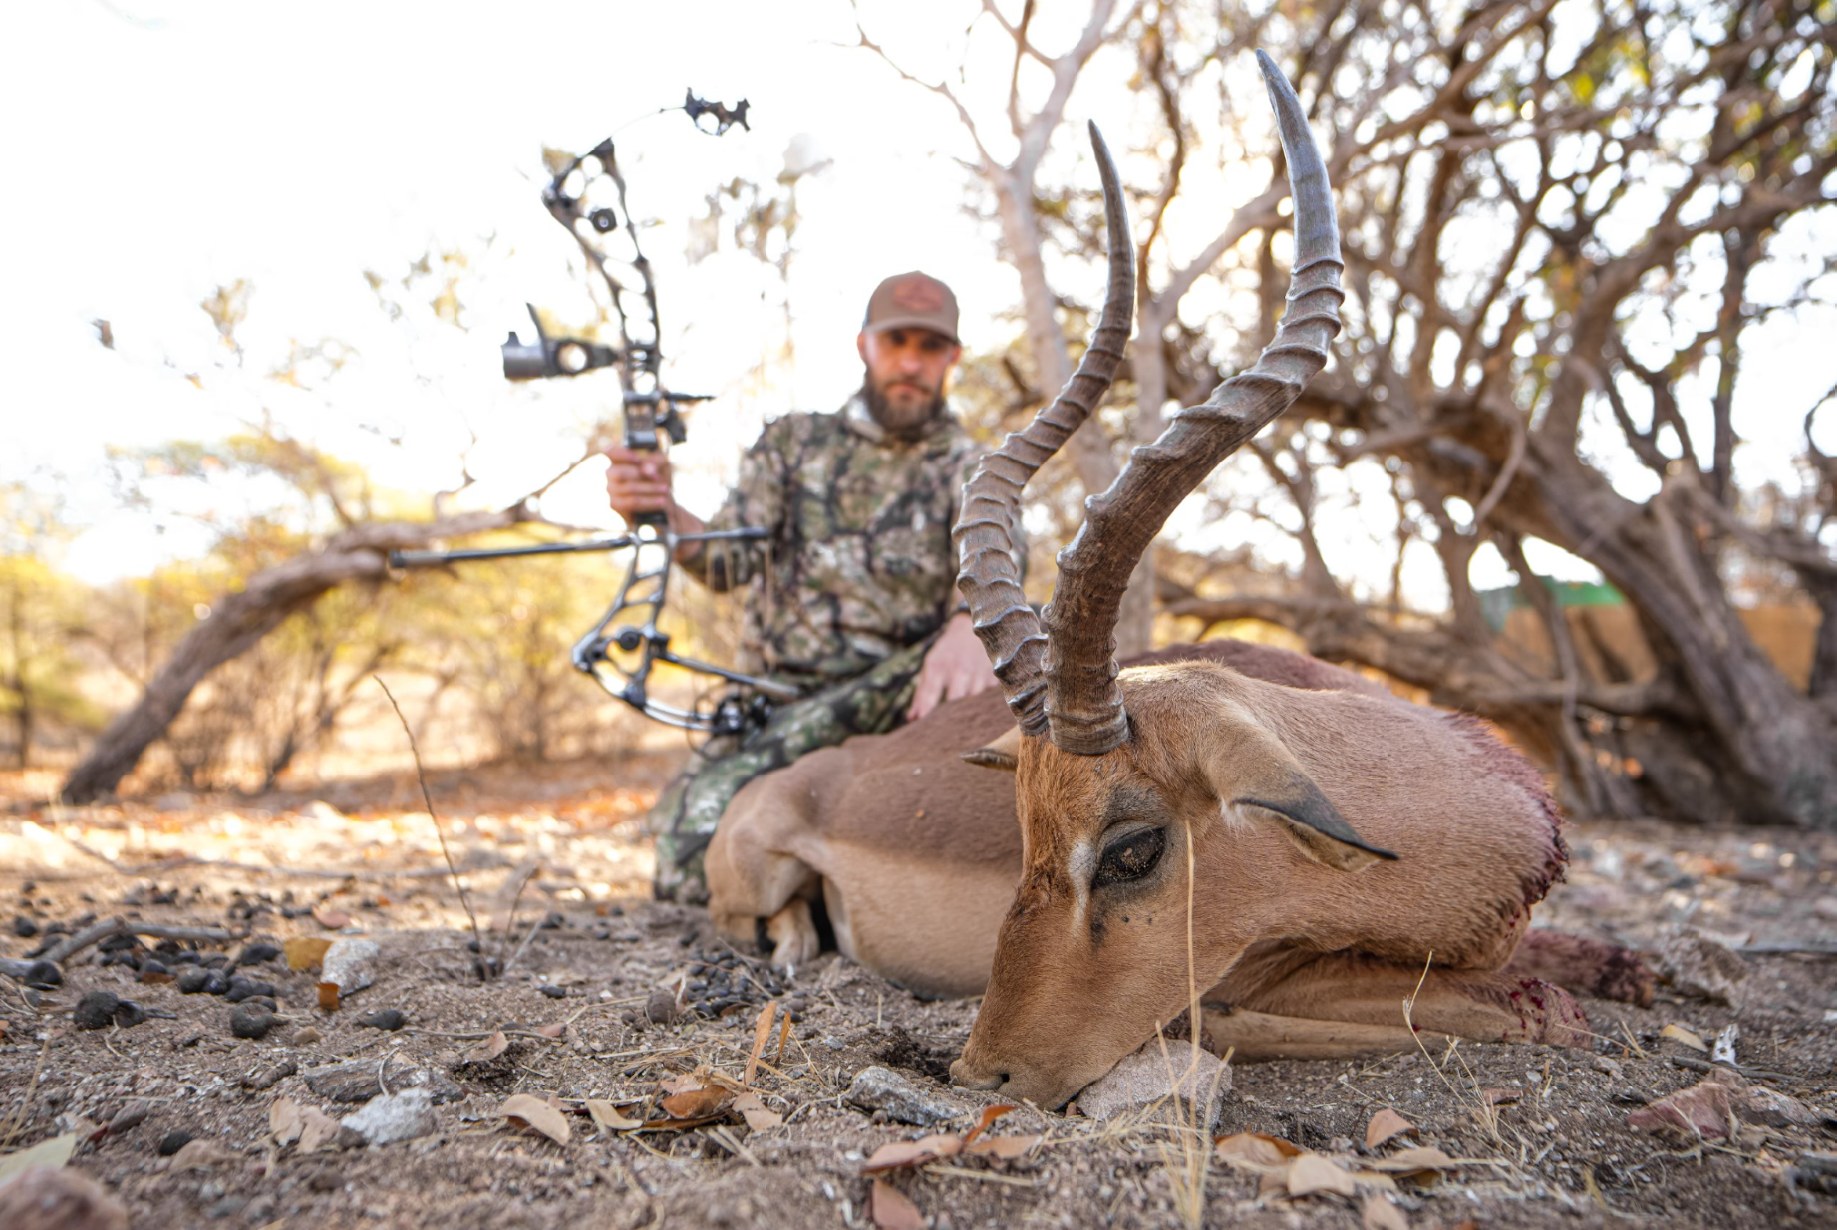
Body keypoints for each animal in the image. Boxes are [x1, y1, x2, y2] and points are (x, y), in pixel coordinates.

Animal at [705, 52, 1650, 1110]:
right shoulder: (1257, 981)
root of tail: (809, 777)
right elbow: (1518, 1011)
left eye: (1131, 850)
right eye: (1022, 837)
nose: (985, 1073)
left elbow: (1601, 973)